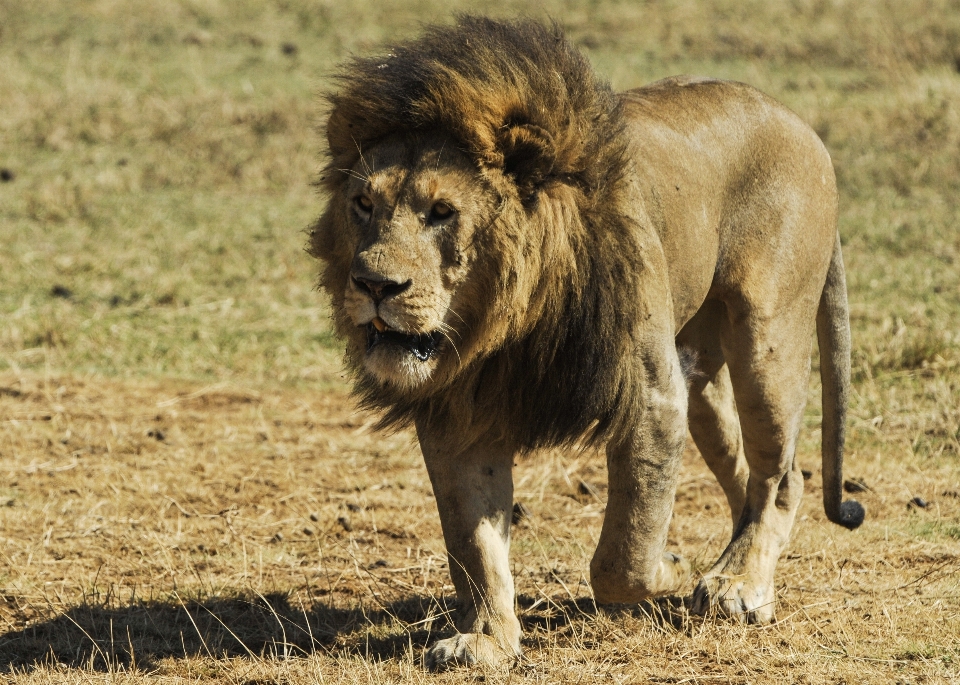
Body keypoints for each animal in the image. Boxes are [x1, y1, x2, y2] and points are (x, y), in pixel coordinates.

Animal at [312, 14, 868, 668]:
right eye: (363, 204)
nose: (374, 284)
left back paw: (738, 585)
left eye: (442, 212)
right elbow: (473, 542)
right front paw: (487, 638)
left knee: (782, 474)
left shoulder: (649, 396)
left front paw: (670, 567)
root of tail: (800, 123)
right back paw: (737, 565)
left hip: (766, 338)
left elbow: (622, 553)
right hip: (700, 372)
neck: (507, 323)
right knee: (749, 473)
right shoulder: (459, 411)